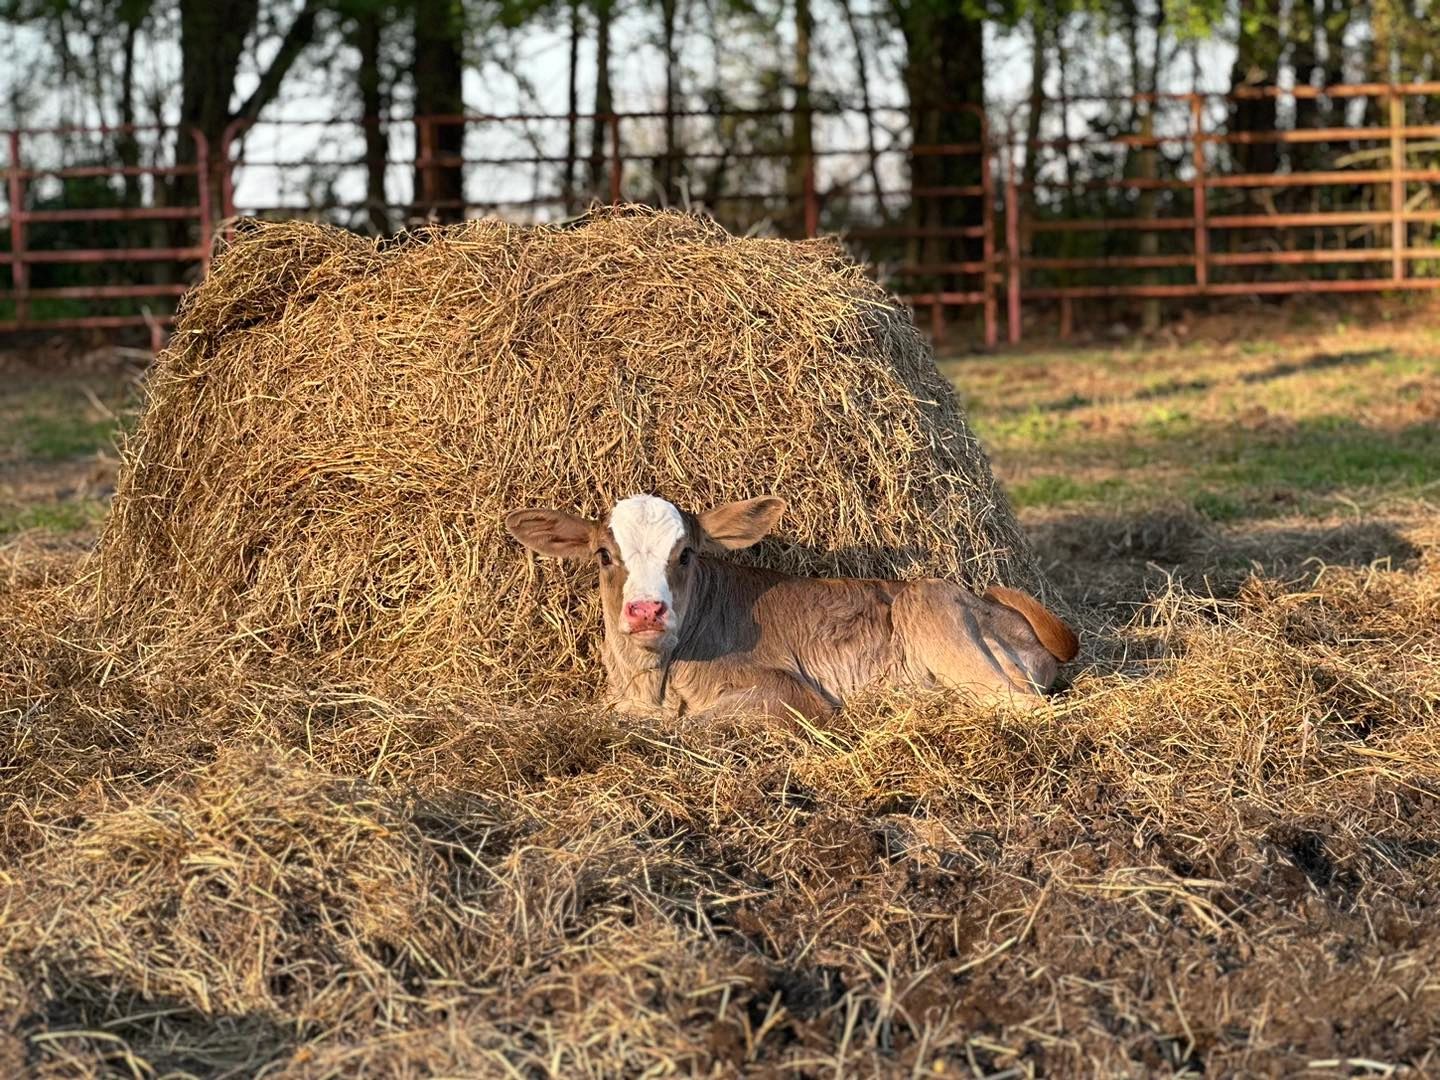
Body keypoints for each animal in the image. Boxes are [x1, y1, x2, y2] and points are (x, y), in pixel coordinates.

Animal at [505, 494, 1078, 721]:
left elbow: (692, 722)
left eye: (685, 554)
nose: (647, 611)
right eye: (605, 554)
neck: (653, 679)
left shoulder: (791, 693)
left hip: (928, 606)